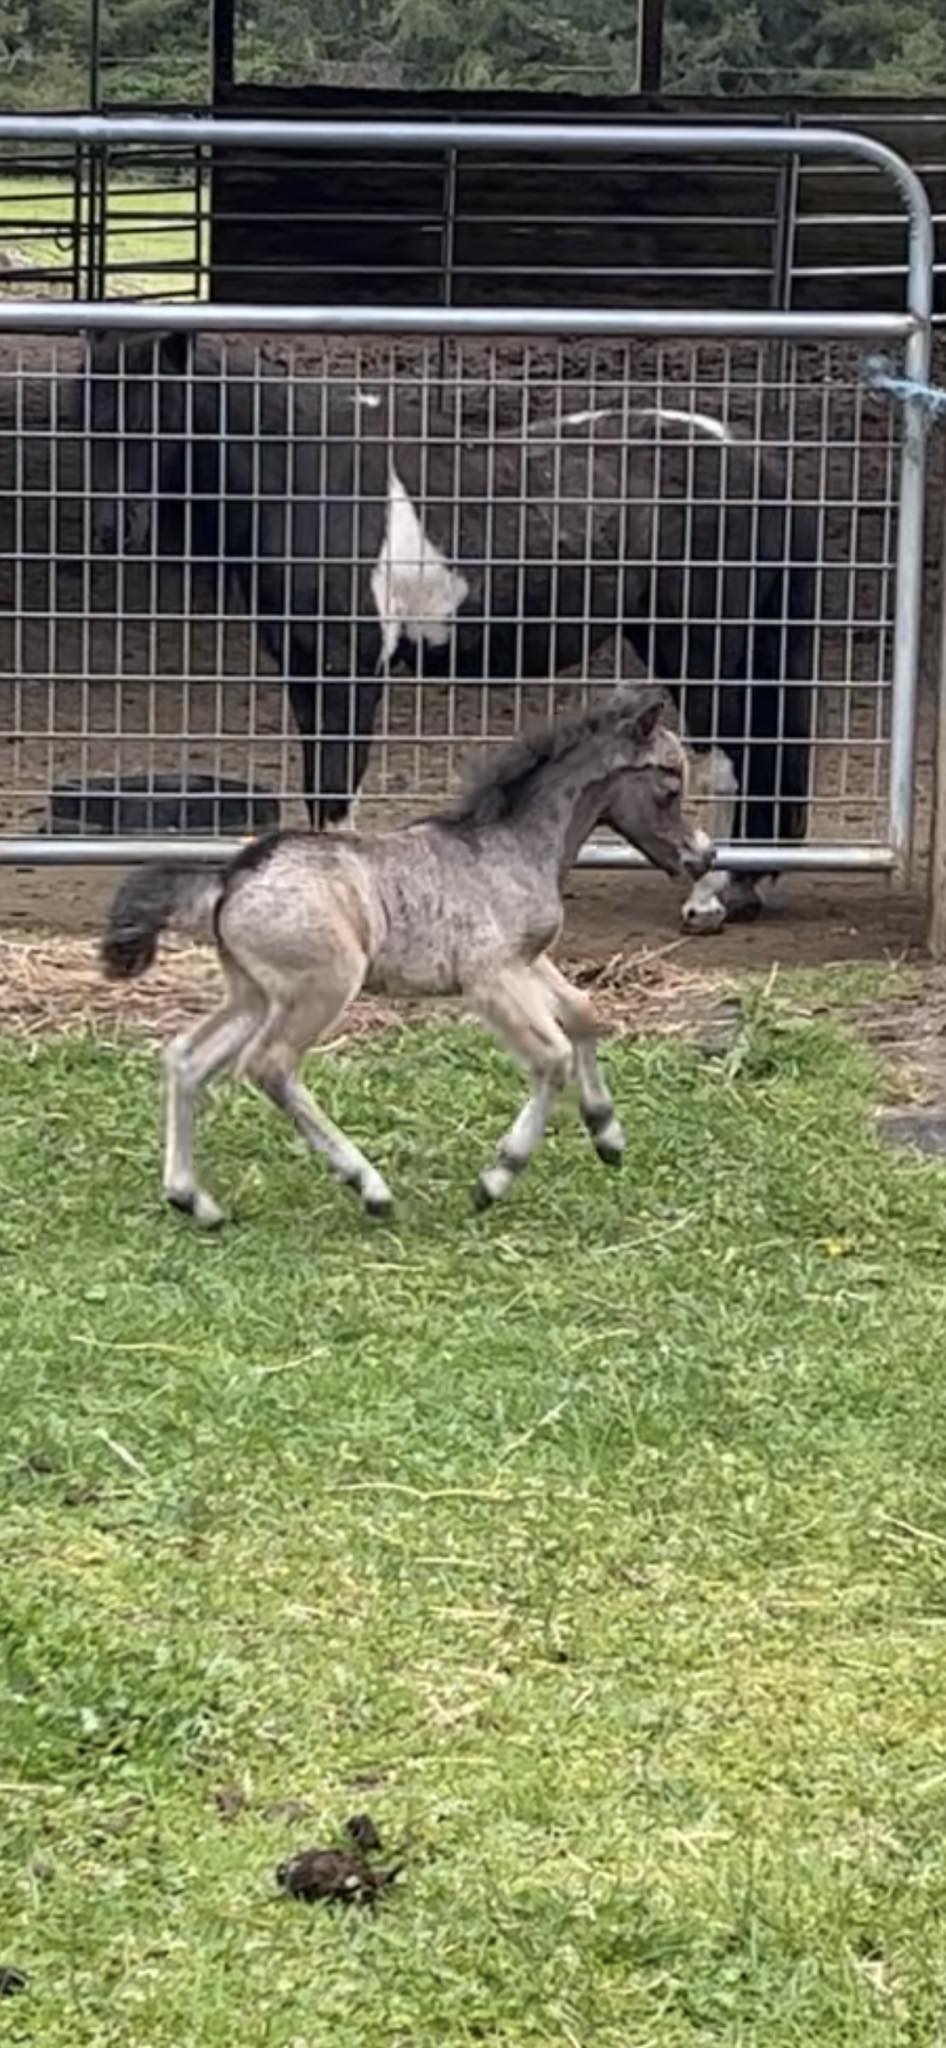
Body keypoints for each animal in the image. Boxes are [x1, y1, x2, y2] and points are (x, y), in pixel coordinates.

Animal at [86, 328, 815, 932]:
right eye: (86, 414)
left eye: (157, 414)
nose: (112, 529)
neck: (309, 475)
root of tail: (757, 459)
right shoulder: (303, 666)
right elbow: (320, 789)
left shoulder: (349, 671)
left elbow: (338, 791)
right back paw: (745, 890)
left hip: (699, 646)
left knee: (727, 762)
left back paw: (709, 899)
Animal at [101, 684, 712, 1227]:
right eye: (670, 786)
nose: (701, 857)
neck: (513, 846)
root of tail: (227, 881)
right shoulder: (490, 977)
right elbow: (552, 1056)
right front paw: (496, 1178)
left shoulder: (526, 960)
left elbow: (584, 1012)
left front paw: (608, 1133)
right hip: (323, 987)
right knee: (269, 1065)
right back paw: (369, 1187)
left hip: (256, 994)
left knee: (187, 1058)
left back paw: (193, 1200)